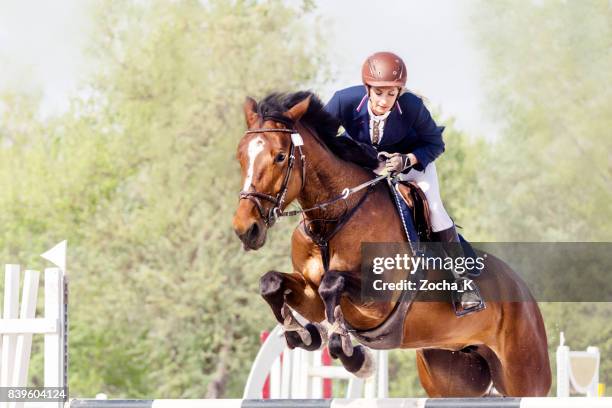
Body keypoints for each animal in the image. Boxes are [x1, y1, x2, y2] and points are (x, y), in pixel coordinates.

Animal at [232, 91, 552, 396]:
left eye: (280, 157)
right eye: (240, 156)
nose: (245, 229)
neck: (333, 220)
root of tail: (522, 288)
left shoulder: (379, 299)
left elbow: (332, 284)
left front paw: (352, 355)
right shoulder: (310, 293)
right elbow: (272, 283)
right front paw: (301, 333)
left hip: (526, 375)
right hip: (452, 373)